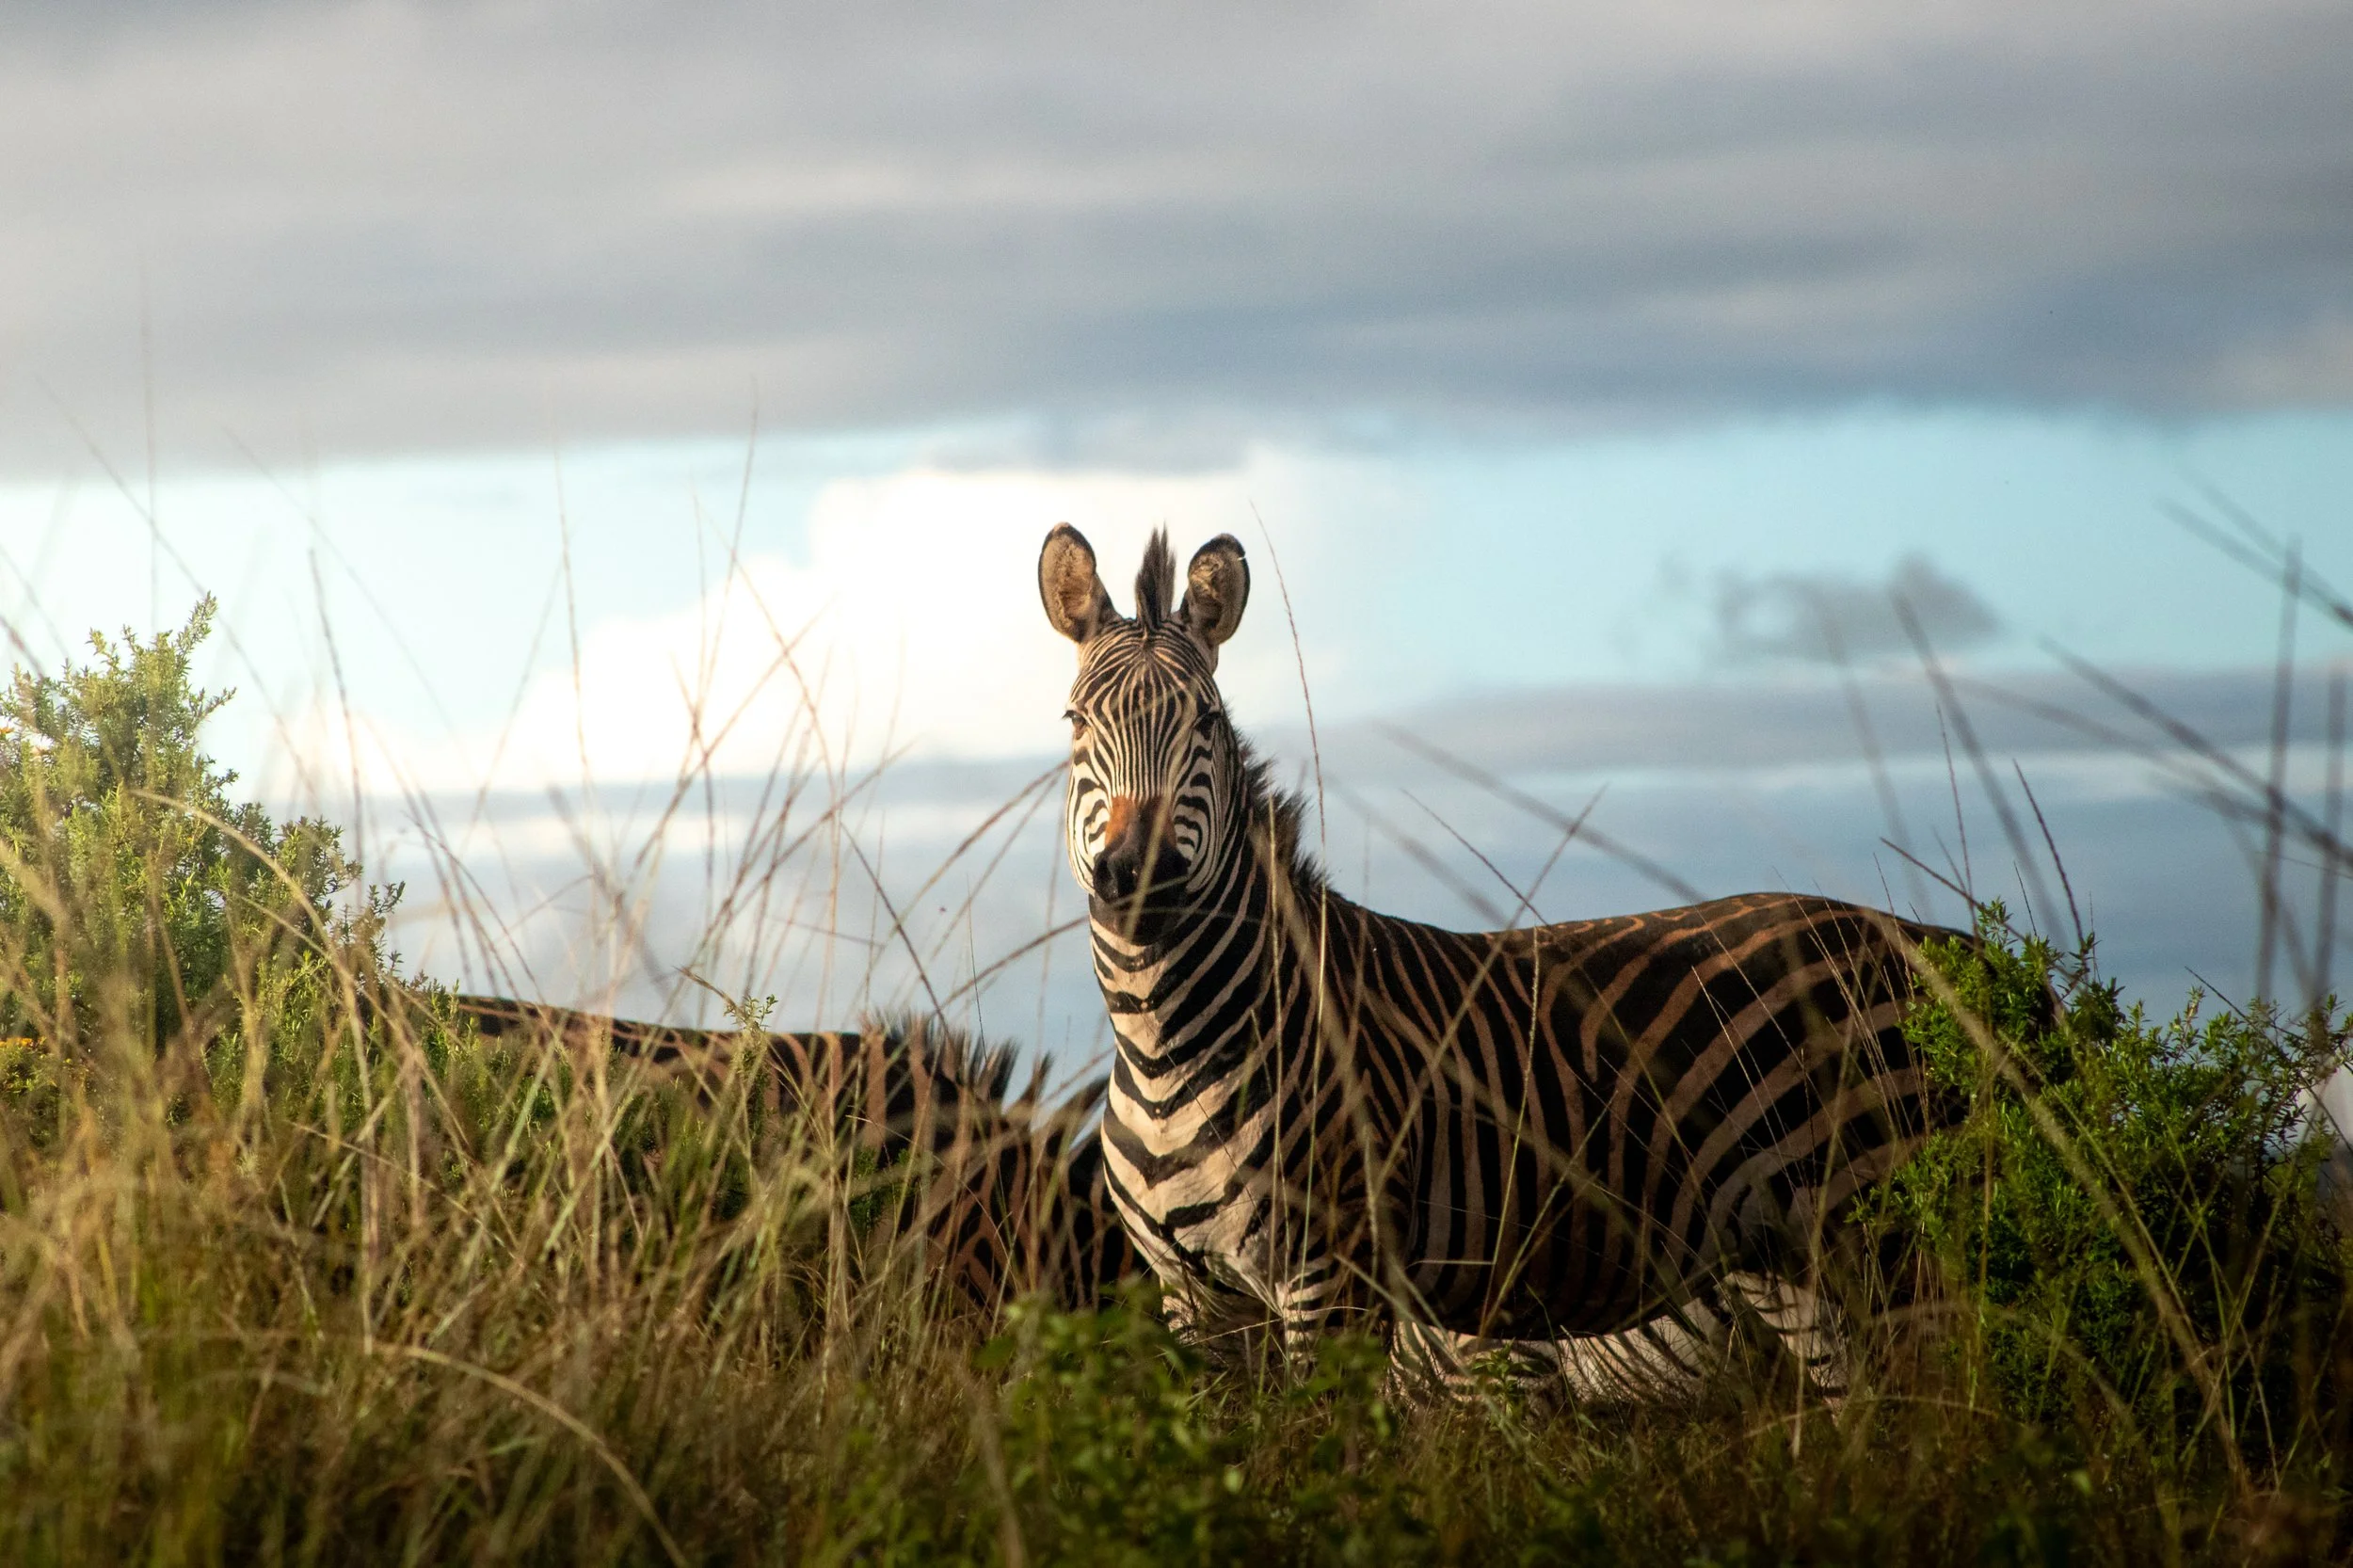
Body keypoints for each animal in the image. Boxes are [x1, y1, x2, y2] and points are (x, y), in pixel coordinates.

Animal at [1038, 523, 1966, 1382]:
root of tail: (1934, 939)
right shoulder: (1192, 1297)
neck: (1167, 1045)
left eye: (1206, 722)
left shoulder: (1331, 1272)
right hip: (1792, 1262)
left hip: (1890, 1232)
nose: (1139, 877)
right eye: (1077, 722)